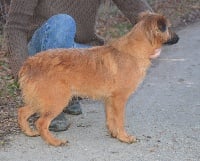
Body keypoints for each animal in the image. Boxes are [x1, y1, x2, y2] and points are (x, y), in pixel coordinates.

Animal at [17, 11, 180, 147]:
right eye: (169, 27)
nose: (178, 38)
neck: (134, 51)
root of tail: (30, 63)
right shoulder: (119, 99)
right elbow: (119, 121)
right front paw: (124, 137)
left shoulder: (109, 99)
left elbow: (111, 119)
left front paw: (115, 134)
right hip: (57, 100)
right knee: (41, 122)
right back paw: (54, 141)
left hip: (42, 100)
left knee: (22, 112)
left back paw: (29, 132)